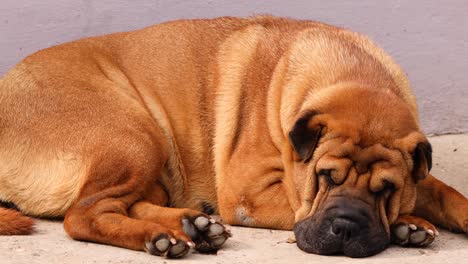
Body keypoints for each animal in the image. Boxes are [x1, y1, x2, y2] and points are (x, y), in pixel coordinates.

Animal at [0, 16, 468, 258]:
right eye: (325, 177)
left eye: (386, 188)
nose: (347, 227)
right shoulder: (253, 195)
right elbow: (298, 205)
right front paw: (408, 222)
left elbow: (445, 193)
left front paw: (414, 218)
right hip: (136, 137)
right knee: (83, 215)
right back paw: (162, 237)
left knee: (121, 204)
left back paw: (193, 225)